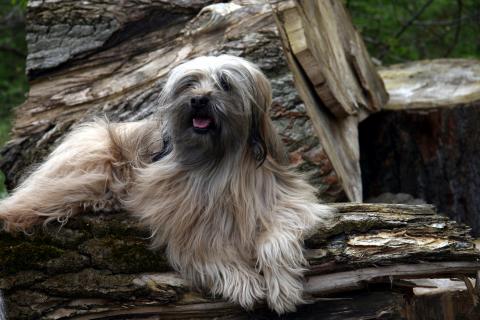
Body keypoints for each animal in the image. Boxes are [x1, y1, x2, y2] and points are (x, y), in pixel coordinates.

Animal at [0, 54, 336, 312]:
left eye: (225, 83)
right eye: (190, 83)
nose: (198, 100)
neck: (215, 163)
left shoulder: (287, 199)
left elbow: (277, 236)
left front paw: (282, 288)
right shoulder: (175, 211)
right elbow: (203, 243)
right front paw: (243, 281)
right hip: (89, 164)